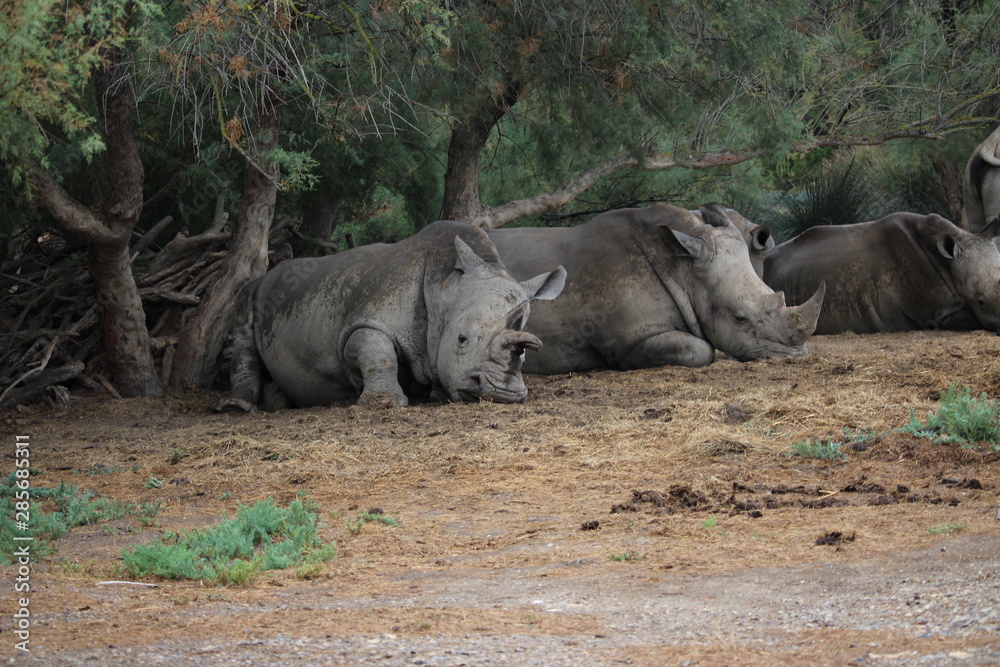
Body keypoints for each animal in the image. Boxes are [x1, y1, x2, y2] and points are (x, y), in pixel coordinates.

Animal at [215, 220, 566, 411]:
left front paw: (436, 395)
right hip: (253, 293)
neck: (443, 288)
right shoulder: (363, 322)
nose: (502, 393)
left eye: (525, 353)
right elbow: (376, 350)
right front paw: (385, 403)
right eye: (462, 339)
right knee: (243, 338)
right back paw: (237, 408)